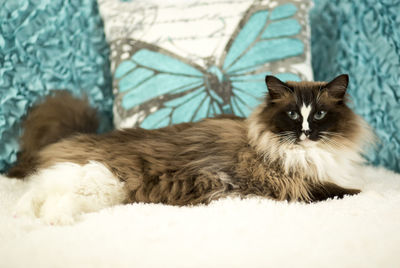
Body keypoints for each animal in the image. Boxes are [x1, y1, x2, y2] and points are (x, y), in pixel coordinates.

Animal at [7, 74, 374, 224]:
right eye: (293, 115)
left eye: (320, 114)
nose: (306, 132)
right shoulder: (292, 183)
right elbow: (344, 190)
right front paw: (371, 194)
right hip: (99, 182)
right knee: (44, 196)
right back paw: (50, 222)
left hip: (93, 187)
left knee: (38, 194)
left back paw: (33, 219)